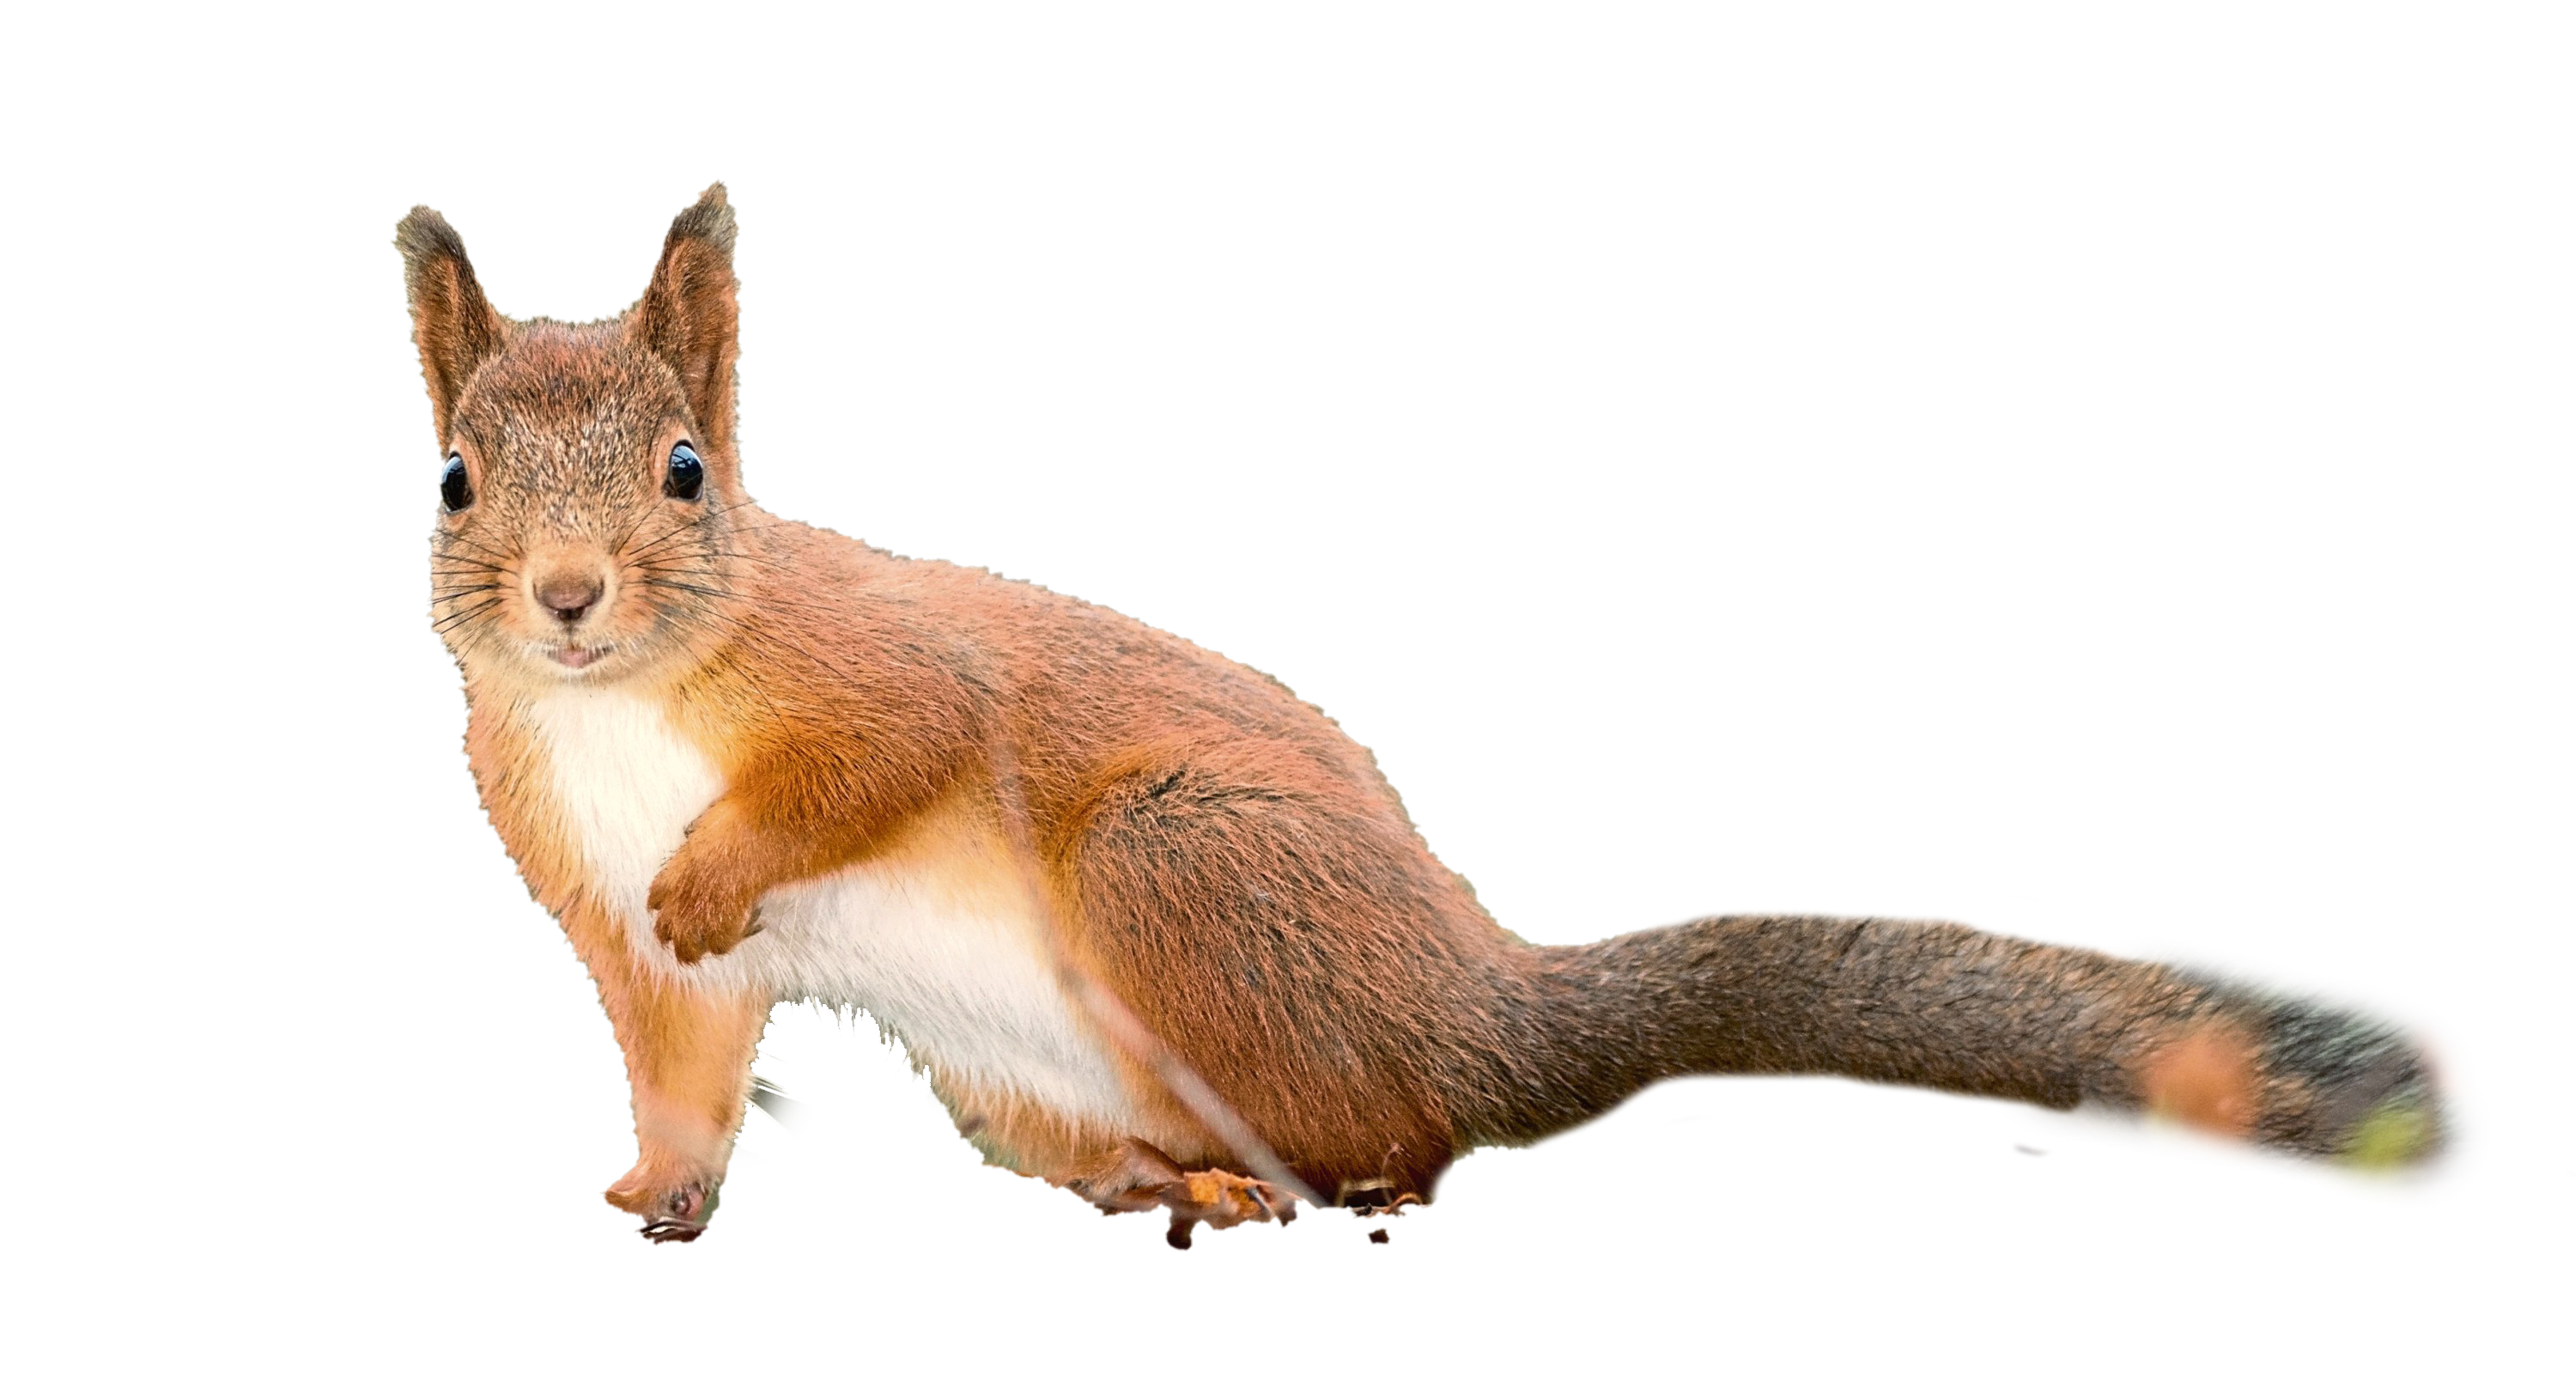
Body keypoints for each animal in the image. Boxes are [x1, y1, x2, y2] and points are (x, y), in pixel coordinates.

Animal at [397, 181, 2489, 1249]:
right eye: (452, 479)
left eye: (687, 473)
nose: (567, 599)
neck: (624, 714)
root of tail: (1474, 1000)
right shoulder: (604, 919)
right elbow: (678, 1064)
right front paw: (651, 1189)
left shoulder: (876, 669)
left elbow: (883, 751)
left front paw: (723, 868)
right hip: (1042, 1060)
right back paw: (1159, 1180)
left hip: (1185, 870)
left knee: (1420, 1141)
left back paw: (1308, 1187)